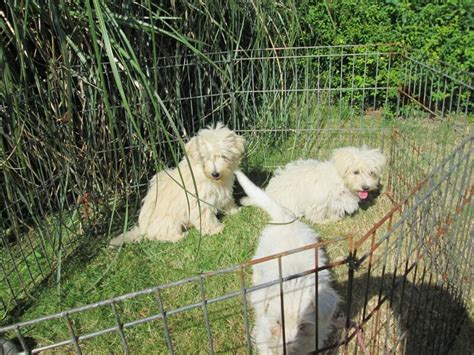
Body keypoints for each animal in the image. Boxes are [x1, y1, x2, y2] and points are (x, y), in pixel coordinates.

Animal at [109, 124, 246, 246]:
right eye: (204, 158)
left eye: (223, 156)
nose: (215, 173)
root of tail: (142, 228)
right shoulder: (198, 200)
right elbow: (205, 215)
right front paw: (214, 229)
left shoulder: (223, 189)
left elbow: (227, 200)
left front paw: (234, 210)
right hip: (168, 221)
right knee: (158, 235)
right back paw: (179, 237)